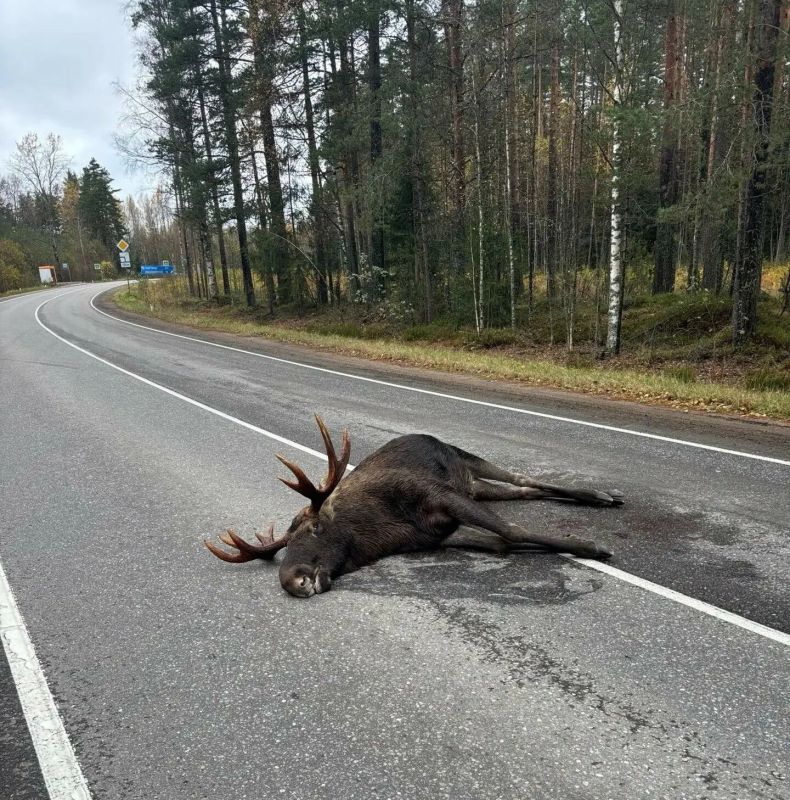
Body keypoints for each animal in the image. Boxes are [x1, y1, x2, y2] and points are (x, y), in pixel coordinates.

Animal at [205, 416, 623, 598]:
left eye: (315, 528)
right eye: (285, 543)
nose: (294, 581)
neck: (380, 532)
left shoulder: (439, 495)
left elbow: (512, 530)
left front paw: (591, 546)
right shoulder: (440, 534)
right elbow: (504, 542)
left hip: (467, 460)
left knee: (525, 479)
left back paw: (603, 495)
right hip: (476, 487)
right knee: (522, 491)